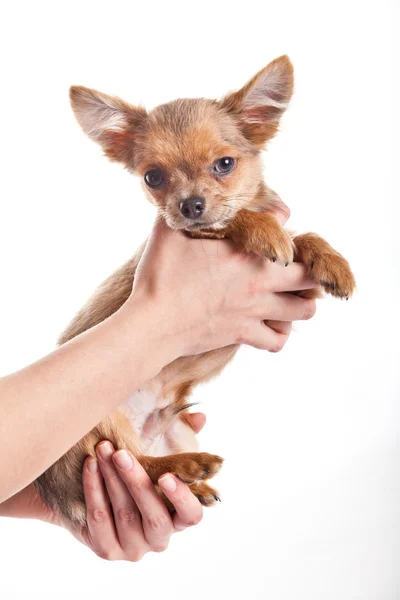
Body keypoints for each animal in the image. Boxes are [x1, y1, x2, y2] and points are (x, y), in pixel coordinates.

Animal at [34, 55, 356, 524]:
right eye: (153, 177)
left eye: (224, 164)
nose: (190, 205)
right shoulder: (197, 235)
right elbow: (235, 223)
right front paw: (263, 229)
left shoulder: (292, 295)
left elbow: (303, 238)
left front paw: (332, 261)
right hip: (96, 428)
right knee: (139, 465)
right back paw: (188, 467)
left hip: (171, 432)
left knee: (149, 473)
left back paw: (191, 483)